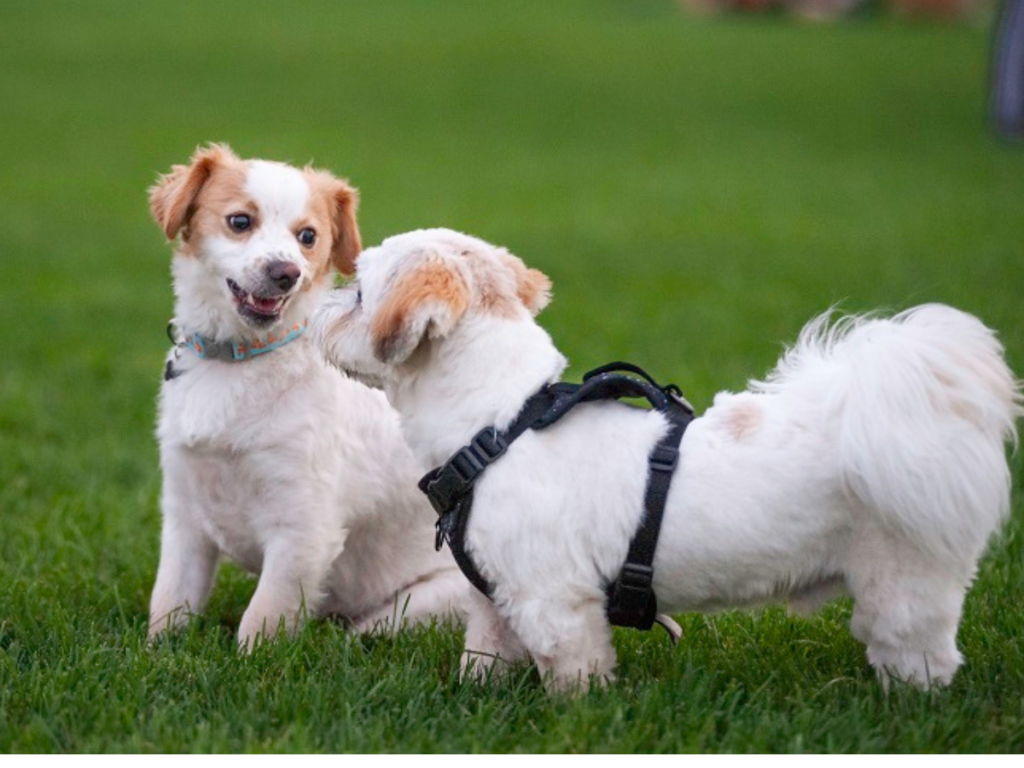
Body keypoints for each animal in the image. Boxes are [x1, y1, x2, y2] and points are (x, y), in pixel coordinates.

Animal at [148, 145, 468, 651]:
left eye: (308, 236)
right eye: (240, 221)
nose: (286, 273)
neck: (238, 362)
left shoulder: (303, 529)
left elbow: (260, 622)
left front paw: (249, 662)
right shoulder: (184, 515)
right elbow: (168, 605)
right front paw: (156, 654)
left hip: (413, 608)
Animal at [311, 227, 1024, 692]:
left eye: (358, 293)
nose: (320, 299)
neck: (500, 427)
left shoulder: (555, 601)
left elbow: (575, 677)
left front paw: (576, 720)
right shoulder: (497, 596)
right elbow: (484, 657)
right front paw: (477, 700)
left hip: (903, 581)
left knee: (920, 655)